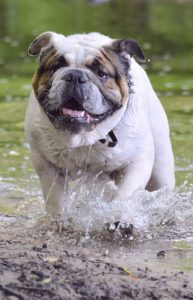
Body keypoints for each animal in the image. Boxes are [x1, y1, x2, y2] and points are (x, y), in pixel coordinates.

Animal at [25, 32, 175, 216]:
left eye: (102, 74)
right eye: (55, 68)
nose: (75, 75)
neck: (84, 137)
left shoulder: (137, 163)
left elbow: (124, 196)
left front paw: (117, 215)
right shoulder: (46, 166)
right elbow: (56, 201)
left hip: (161, 173)